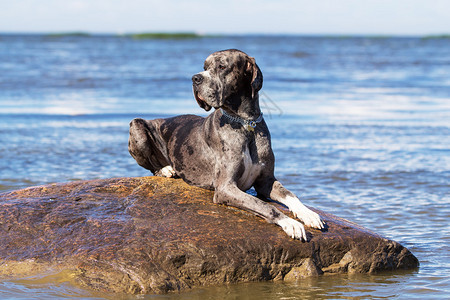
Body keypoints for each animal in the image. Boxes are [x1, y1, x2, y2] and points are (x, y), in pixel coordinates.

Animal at [128, 49, 326, 241]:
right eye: (204, 67)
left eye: (222, 66)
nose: (195, 78)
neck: (245, 123)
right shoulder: (225, 188)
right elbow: (263, 205)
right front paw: (290, 223)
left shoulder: (266, 181)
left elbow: (290, 194)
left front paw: (308, 214)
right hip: (137, 126)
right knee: (151, 166)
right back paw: (166, 169)